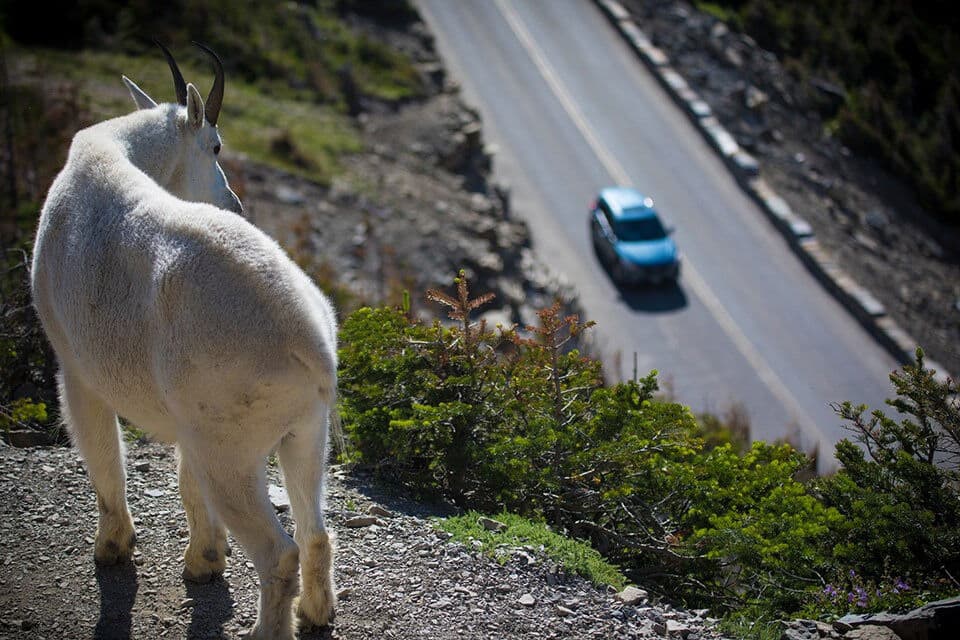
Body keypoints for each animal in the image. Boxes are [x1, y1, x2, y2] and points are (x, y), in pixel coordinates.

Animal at [31, 42, 337, 638]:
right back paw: (315, 615)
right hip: (303, 433)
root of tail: (310, 339)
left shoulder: (77, 369)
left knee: (280, 552)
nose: (235, 203)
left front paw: (112, 548)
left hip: (232, 450)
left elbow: (102, 452)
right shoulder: (186, 419)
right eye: (215, 145)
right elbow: (185, 479)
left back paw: (267, 629)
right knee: (314, 531)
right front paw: (204, 563)